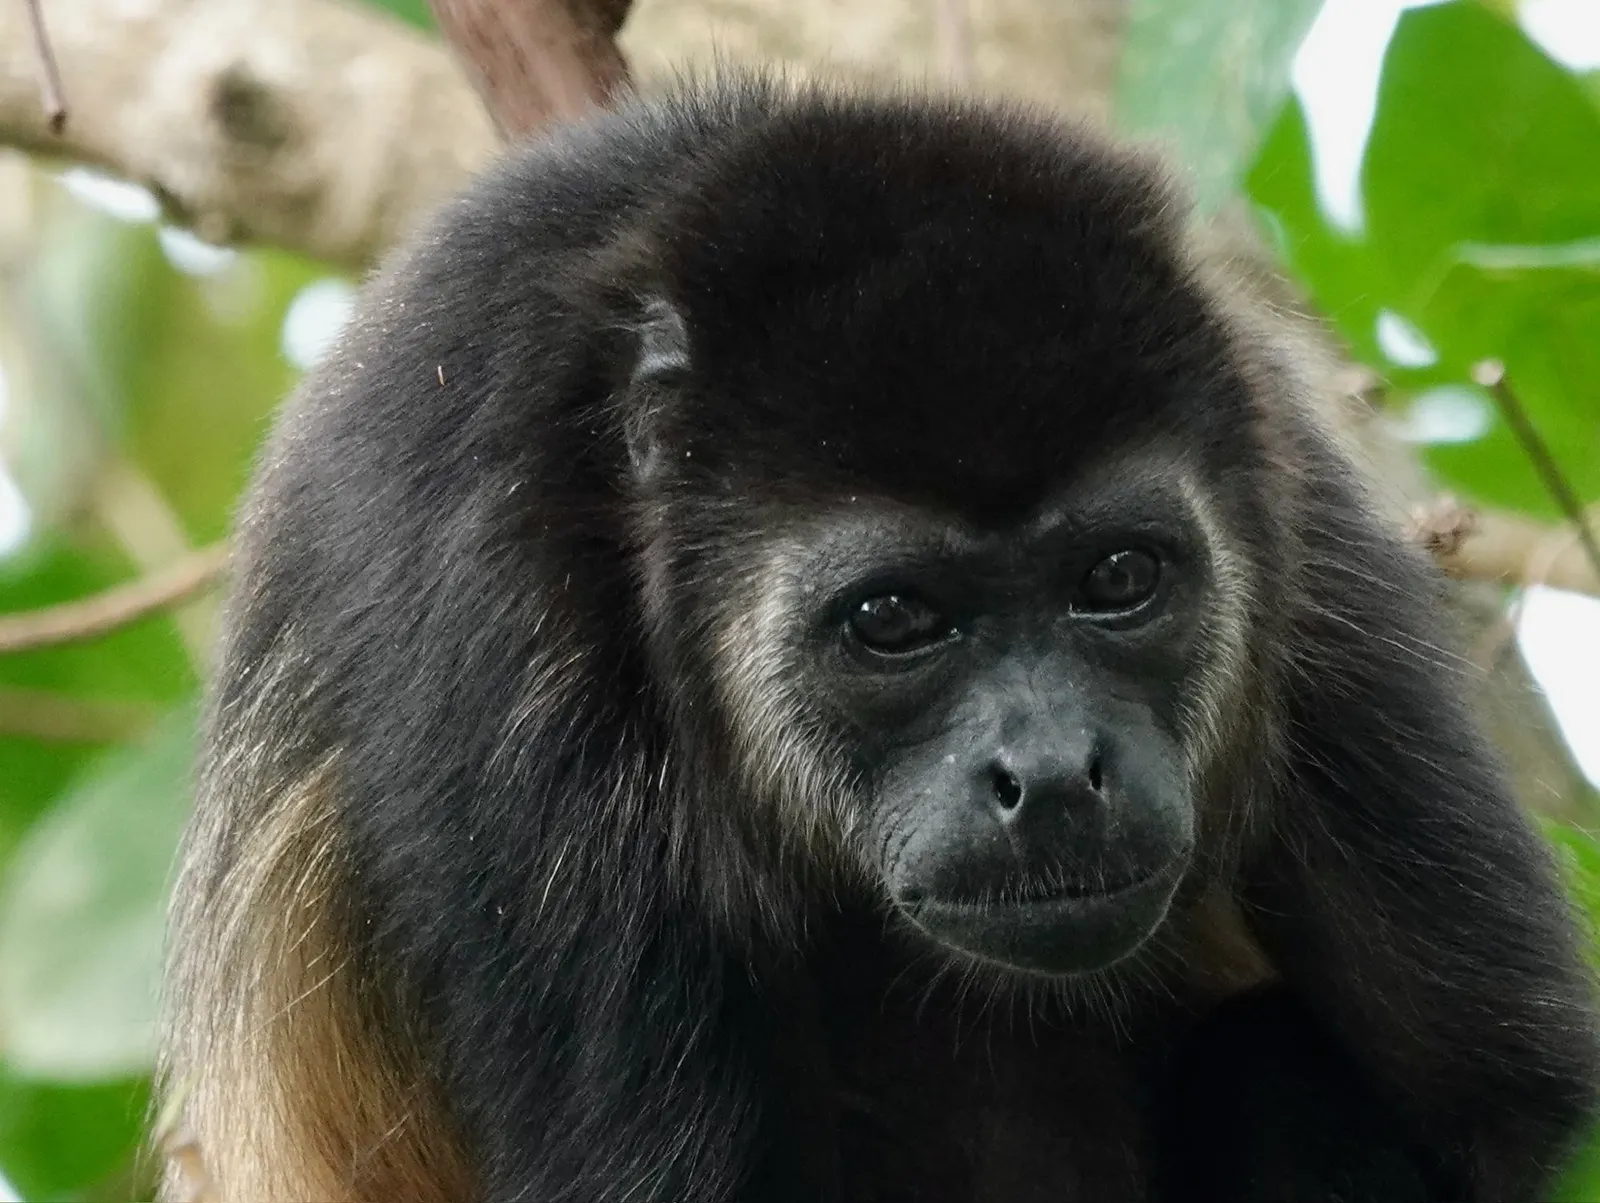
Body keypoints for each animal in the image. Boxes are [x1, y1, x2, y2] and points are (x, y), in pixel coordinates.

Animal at [156, 71, 1600, 1203]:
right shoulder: (478, 617)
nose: (1053, 769)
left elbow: (1502, 1102)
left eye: (1119, 577)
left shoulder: (1296, 510)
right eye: (894, 619)